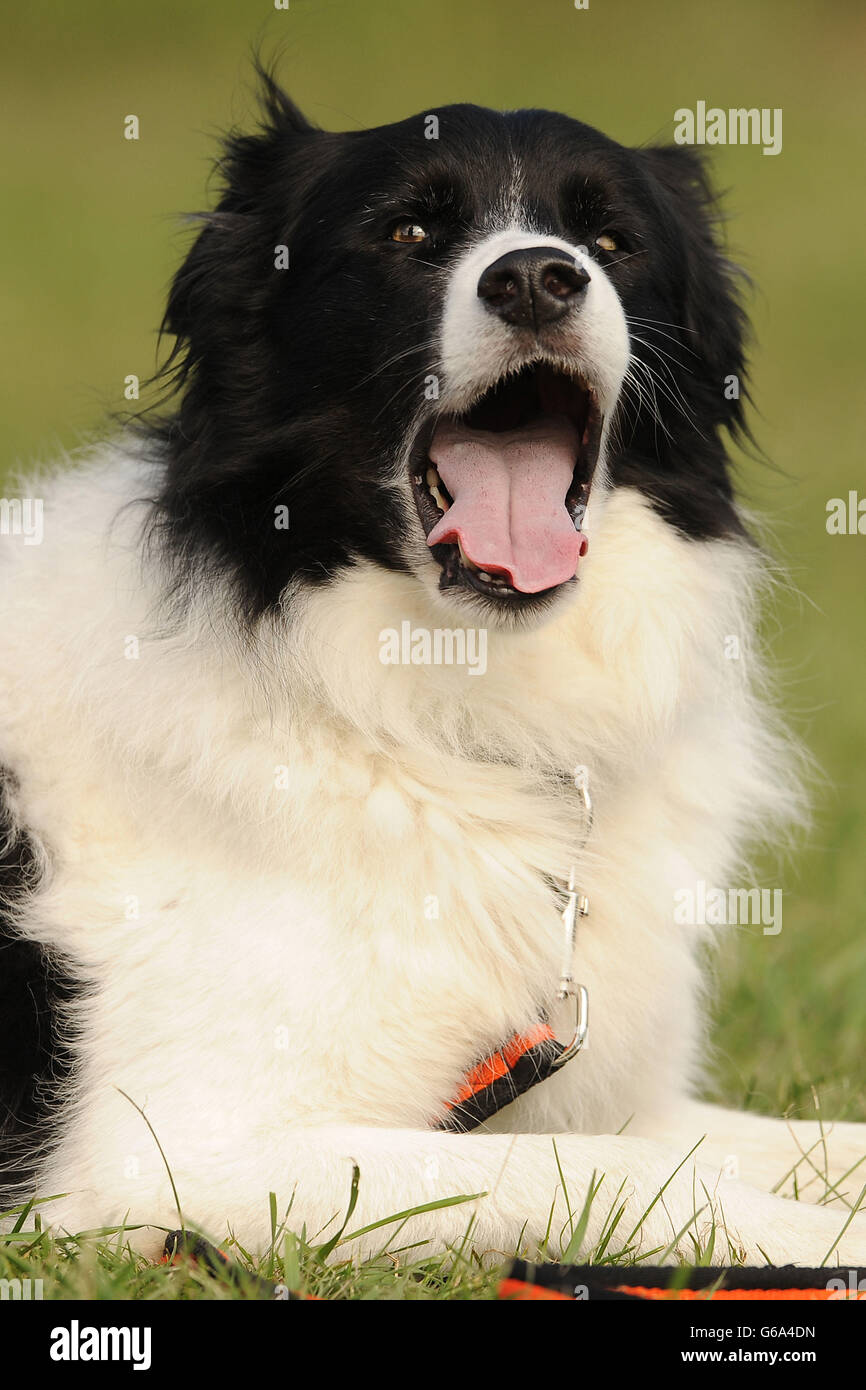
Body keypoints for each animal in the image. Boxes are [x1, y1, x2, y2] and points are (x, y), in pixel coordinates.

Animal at [1, 78, 866, 1273]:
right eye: (409, 233)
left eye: (611, 241)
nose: (539, 276)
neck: (425, 718)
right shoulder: (169, 1160)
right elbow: (616, 1170)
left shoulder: (593, 1089)